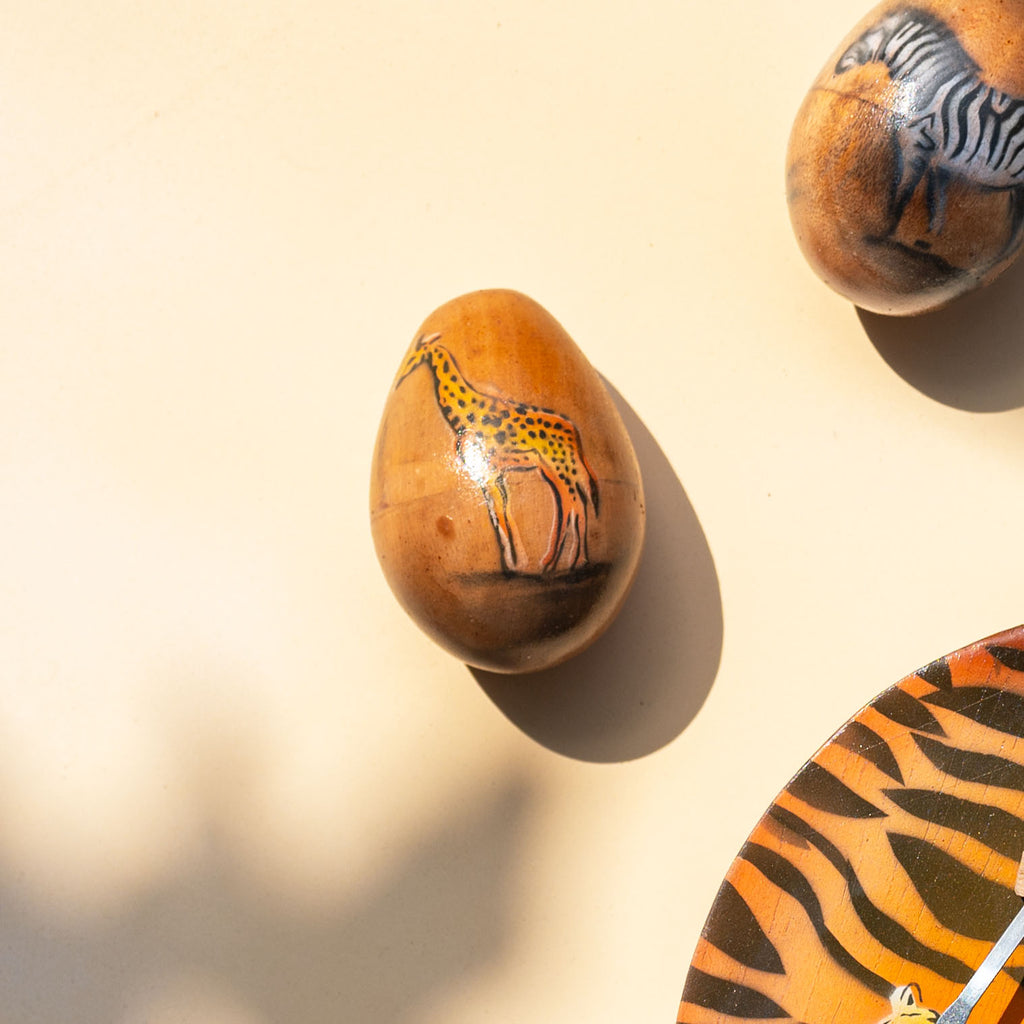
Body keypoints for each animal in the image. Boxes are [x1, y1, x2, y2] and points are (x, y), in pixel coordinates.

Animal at [396, 332, 600, 575]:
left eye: (414, 355)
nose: (400, 377)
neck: (465, 414)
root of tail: (574, 433)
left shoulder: (490, 472)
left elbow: (499, 514)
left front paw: (511, 565)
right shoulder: (493, 475)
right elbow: (500, 511)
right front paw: (514, 563)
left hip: (561, 466)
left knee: (576, 503)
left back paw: (572, 562)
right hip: (552, 470)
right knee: (571, 504)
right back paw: (558, 563)